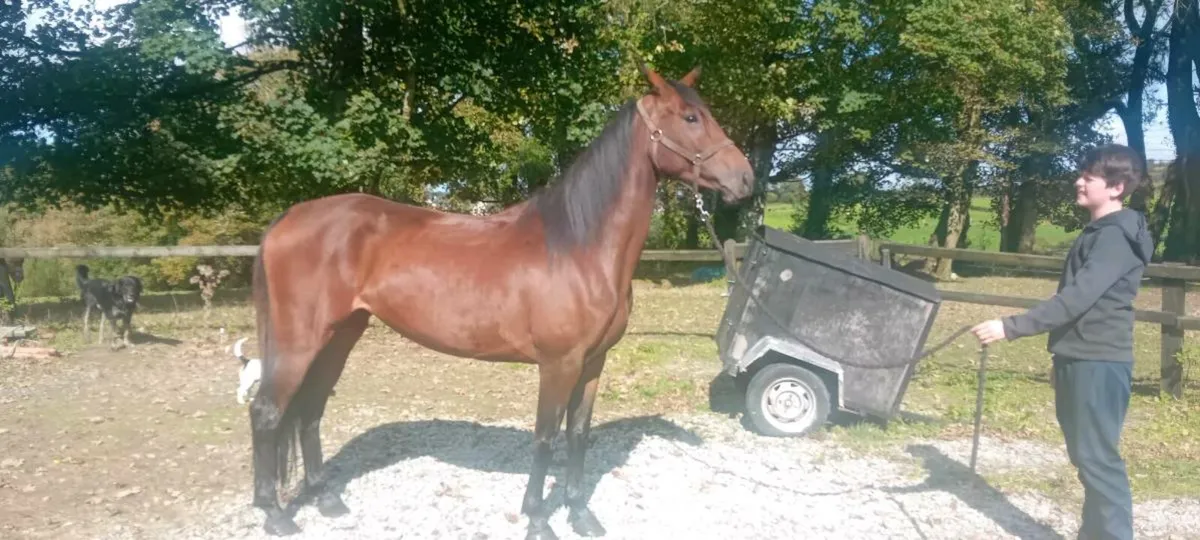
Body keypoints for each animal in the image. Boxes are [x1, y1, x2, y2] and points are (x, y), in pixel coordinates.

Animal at [247, 63, 755, 539]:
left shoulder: (593, 363)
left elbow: (578, 434)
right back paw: (274, 513)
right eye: (690, 117)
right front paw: (538, 520)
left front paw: (581, 514)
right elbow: (545, 438)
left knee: (310, 409)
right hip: (300, 341)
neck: (580, 247)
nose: (746, 180)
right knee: (267, 412)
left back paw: (326, 499)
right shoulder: (559, 364)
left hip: (342, 334)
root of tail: (288, 218)